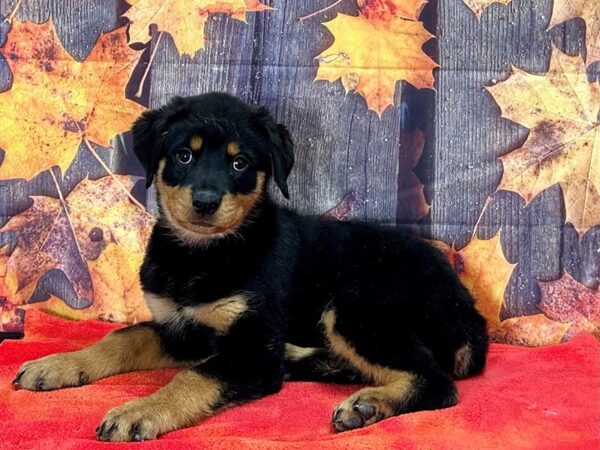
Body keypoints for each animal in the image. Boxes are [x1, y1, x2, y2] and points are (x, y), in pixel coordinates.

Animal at [12, 93, 488, 442]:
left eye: (240, 163)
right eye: (184, 156)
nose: (205, 201)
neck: (201, 255)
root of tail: (470, 311)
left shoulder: (251, 348)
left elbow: (194, 377)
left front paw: (139, 411)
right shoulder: (181, 328)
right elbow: (121, 338)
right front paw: (57, 365)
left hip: (356, 305)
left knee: (438, 382)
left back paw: (364, 404)